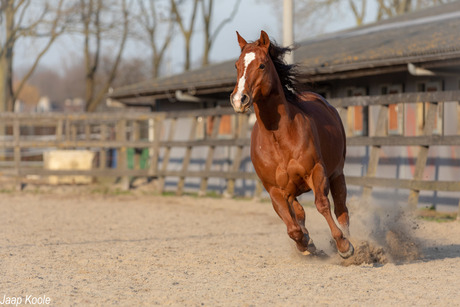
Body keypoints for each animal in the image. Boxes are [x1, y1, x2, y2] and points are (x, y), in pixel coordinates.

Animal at [229, 31, 352, 258]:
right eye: (236, 65)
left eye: (262, 65)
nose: (239, 100)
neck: (279, 138)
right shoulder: (275, 190)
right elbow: (293, 228)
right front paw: (306, 243)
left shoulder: (317, 172)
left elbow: (322, 205)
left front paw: (343, 245)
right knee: (300, 213)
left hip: (337, 174)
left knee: (341, 210)